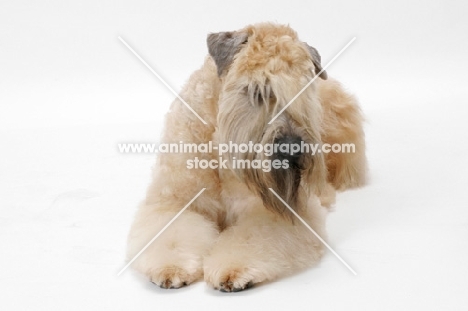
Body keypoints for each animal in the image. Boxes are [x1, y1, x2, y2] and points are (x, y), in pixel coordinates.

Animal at [126, 22, 368, 292]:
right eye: (256, 90)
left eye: (302, 90)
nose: (292, 146)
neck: (220, 146)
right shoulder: (172, 203)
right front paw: (170, 268)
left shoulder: (276, 213)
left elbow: (252, 236)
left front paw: (234, 269)